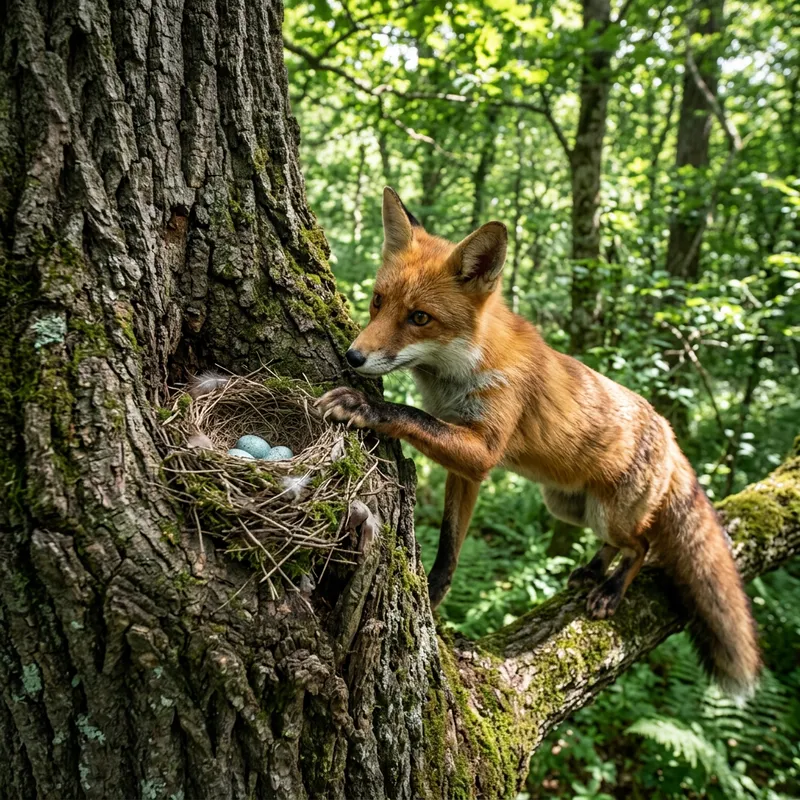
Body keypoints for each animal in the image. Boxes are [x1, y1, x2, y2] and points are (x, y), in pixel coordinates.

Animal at [316, 187, 761, 697]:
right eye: (377, 301)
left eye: (420, 318)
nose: (353, 356)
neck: (464, 368)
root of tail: (668, 431)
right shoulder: (466, 469)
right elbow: (450, 544)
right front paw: (435, 592)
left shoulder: (483, 451)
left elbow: (410, 414)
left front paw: (367, 407)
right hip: (566, 506)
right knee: (619, 544)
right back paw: (593, 570)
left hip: (610, 514)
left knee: (644, 545)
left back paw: (611, 589)